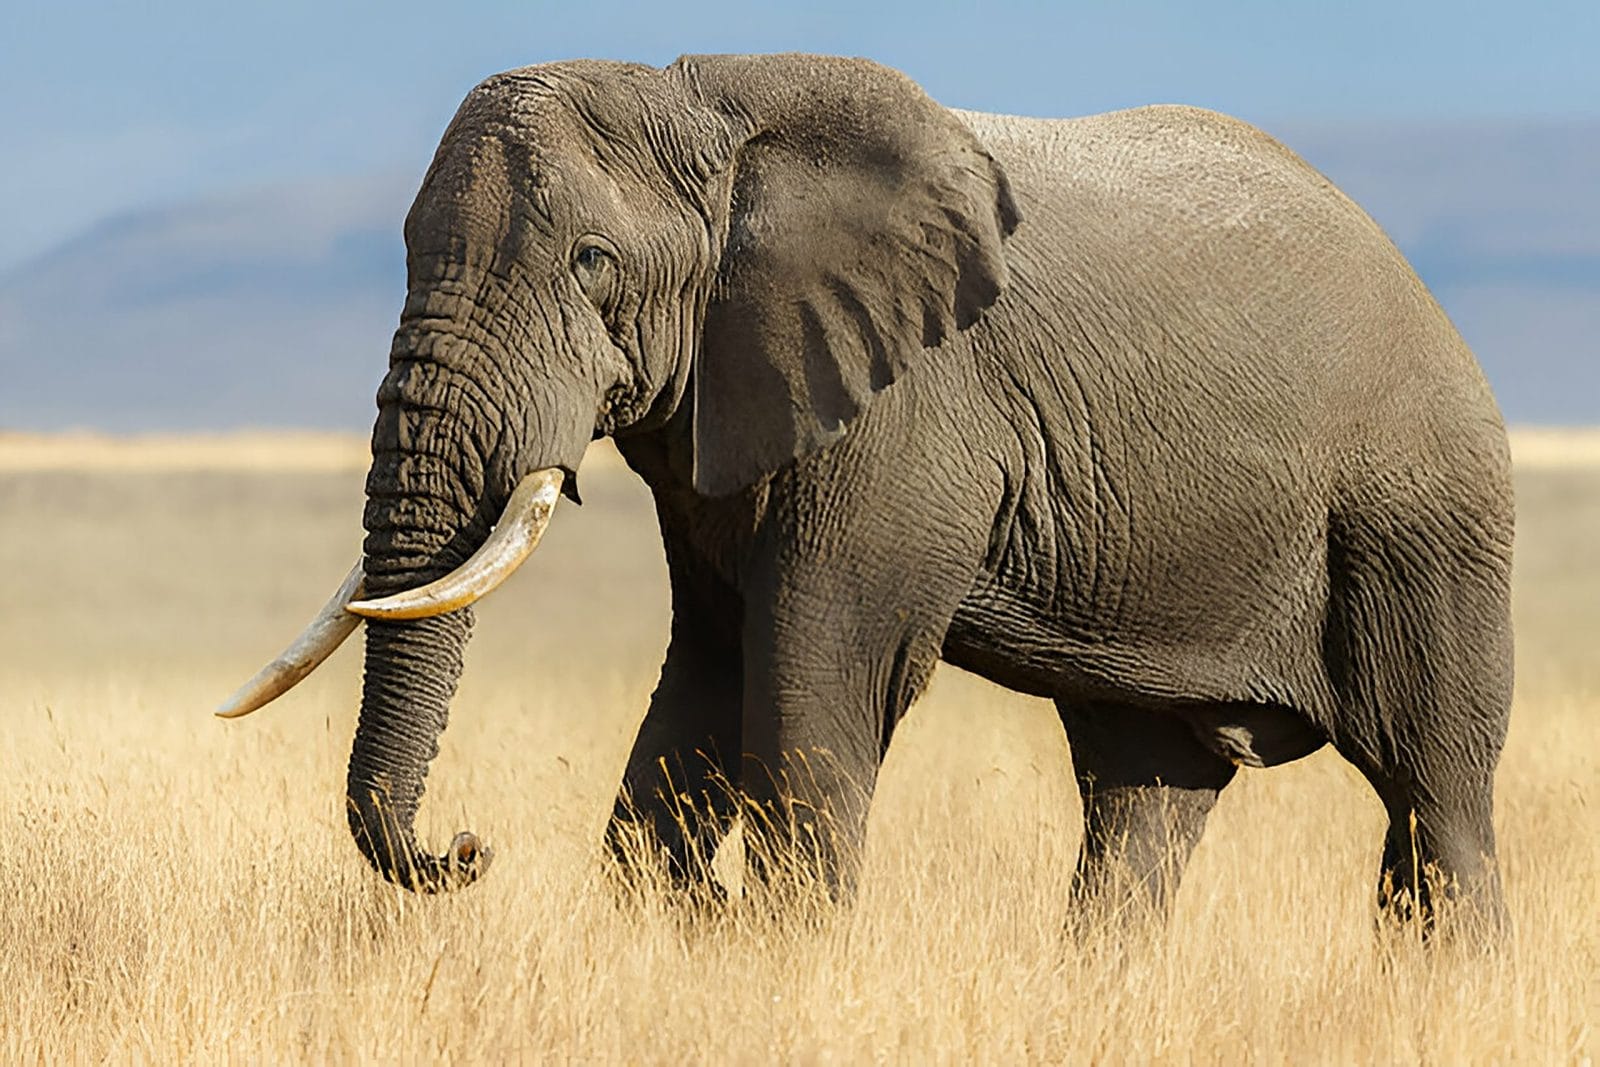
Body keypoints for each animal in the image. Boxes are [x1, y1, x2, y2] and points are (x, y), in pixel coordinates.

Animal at [220, 53, 1514, 931]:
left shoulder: (909, 411)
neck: (707, 110)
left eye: (591, 264)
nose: (465, 848)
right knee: (1142, 795)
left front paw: (772, 944)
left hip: (1419, 518)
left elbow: (820, 664)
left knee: (1436, 796)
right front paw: (674, 921)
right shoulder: (726, 403)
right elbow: (711, 668)